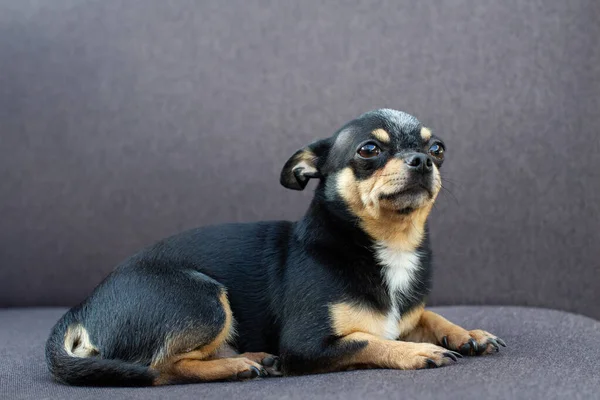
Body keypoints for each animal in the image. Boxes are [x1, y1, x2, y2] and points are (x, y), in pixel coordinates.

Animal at [47, 108, 504, 386]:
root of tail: (81, 308)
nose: (422, 161)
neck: (387, 245)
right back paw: (238, 364)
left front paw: (468, 334)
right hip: (203, 296)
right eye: (369, 150)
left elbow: (428, 313)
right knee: (158, 368)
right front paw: (418, 350)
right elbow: (368, 340)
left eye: (437, 149)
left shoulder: (409, 311)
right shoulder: (306, 345)